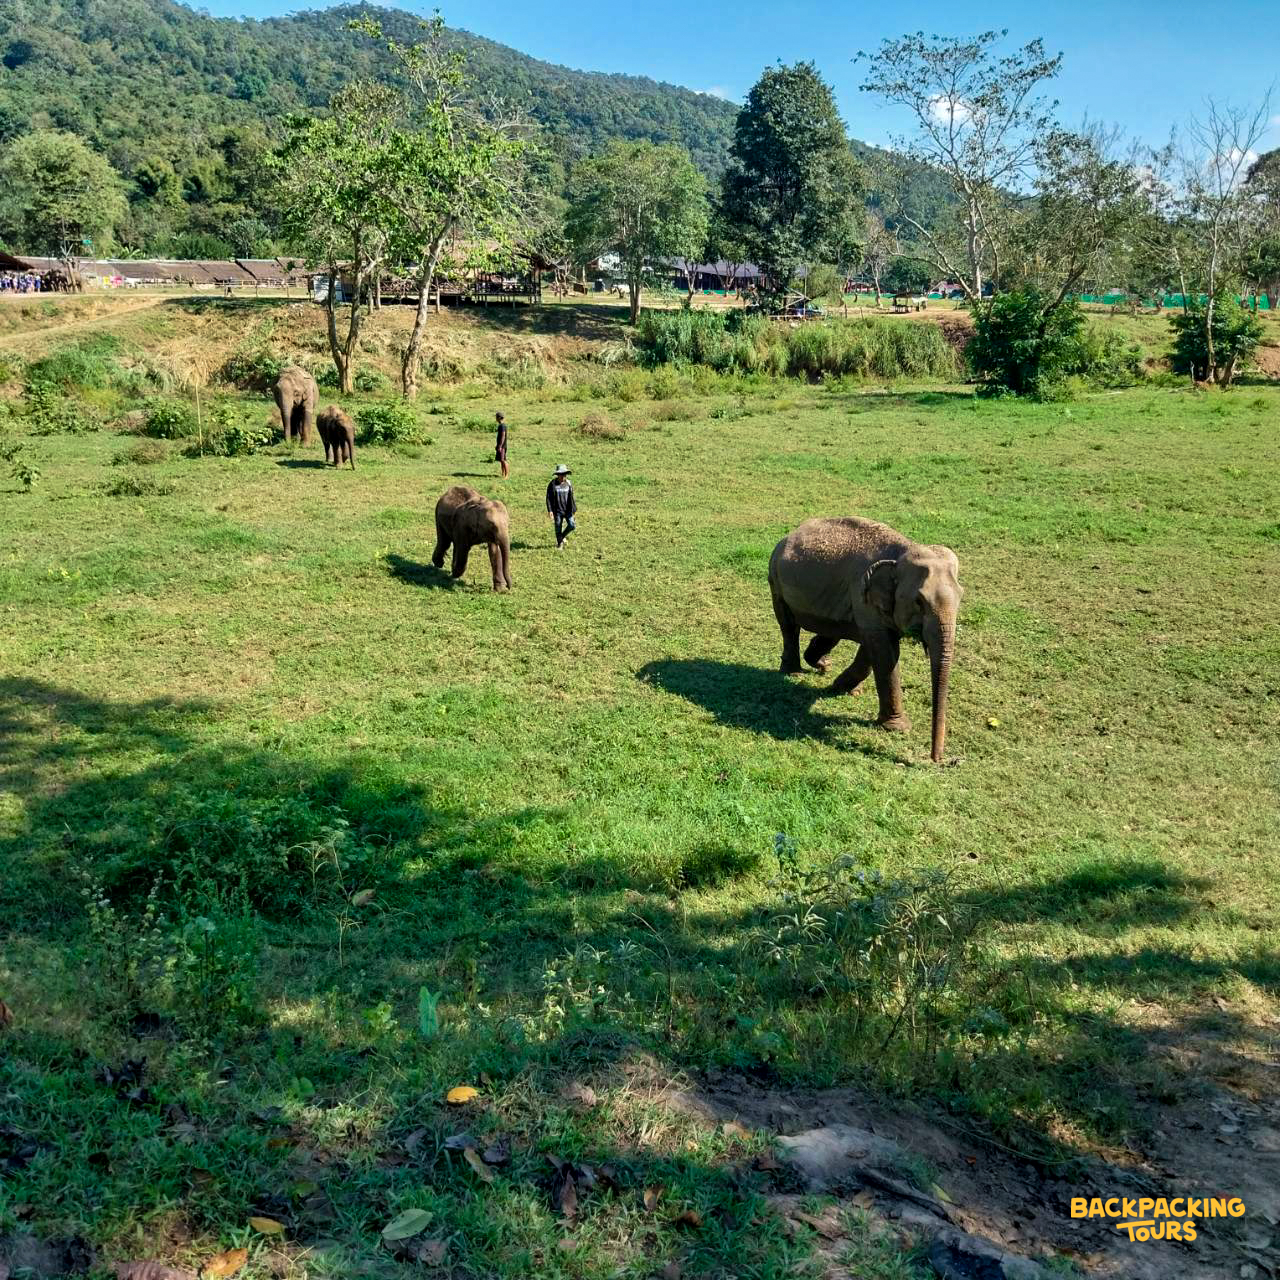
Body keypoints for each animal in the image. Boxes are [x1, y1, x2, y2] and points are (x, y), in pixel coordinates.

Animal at [768, 516, 961, 763]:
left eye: (962, 596)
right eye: (919, 602)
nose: (938, 759)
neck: (903, 550)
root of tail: (789, 534)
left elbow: (873, 649)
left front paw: (841, 687)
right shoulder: (864, 596)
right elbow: (884, 653)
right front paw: (897, 727)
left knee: (831, 630)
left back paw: (823, 665)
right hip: (776, 580)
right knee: (788, 625)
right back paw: (793, 672)